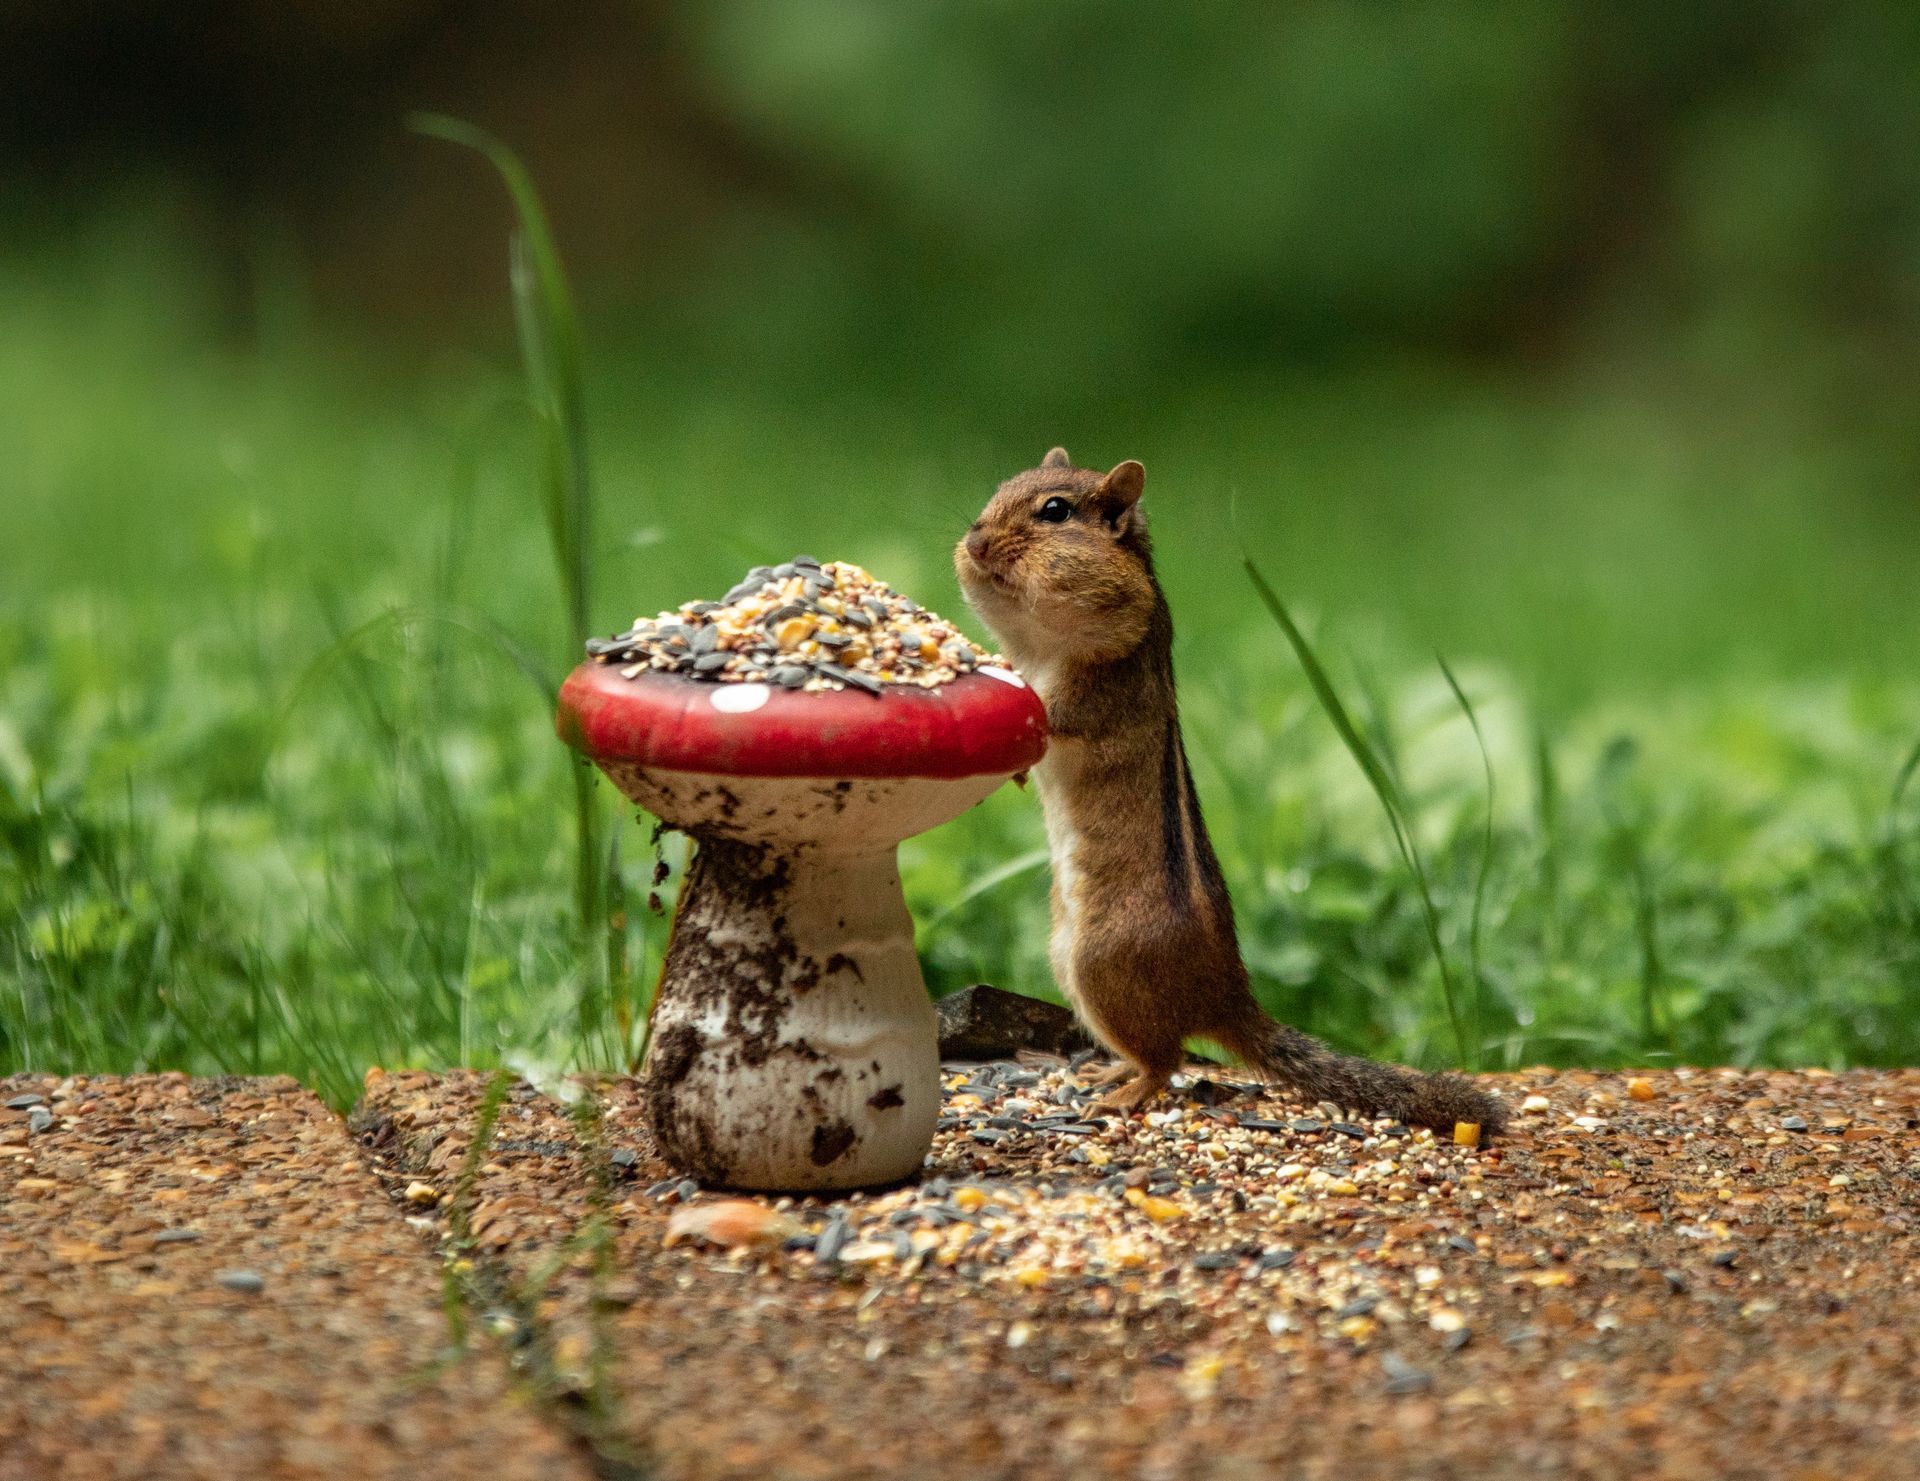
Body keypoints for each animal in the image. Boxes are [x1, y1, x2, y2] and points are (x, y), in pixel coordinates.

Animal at [954, 447, 1506, 1135]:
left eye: (1054, 511)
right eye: (1000, 491)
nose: (975, 541)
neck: (1040, 643)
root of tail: (1228, 997)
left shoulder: (1103, 680)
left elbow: (1056, 713)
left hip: (1099, 967)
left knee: (1166, 1059)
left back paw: (1127, 1091)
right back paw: (1110, 1072)